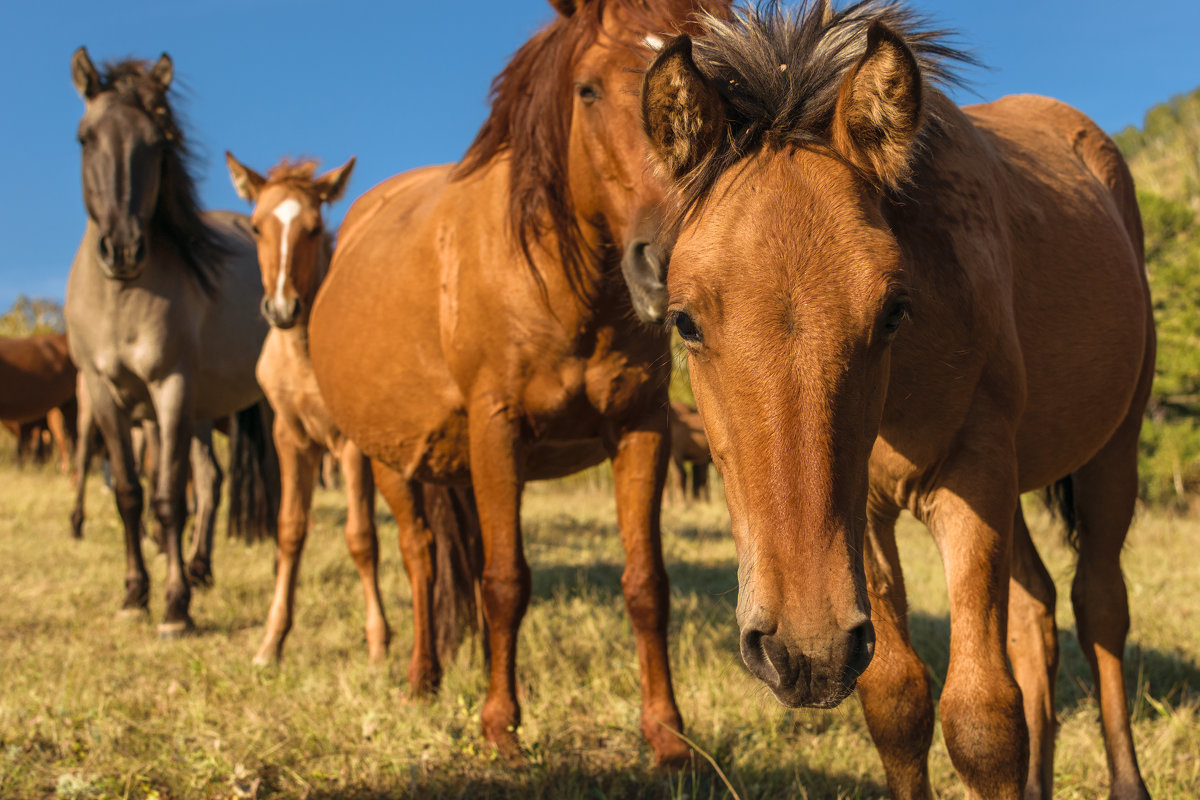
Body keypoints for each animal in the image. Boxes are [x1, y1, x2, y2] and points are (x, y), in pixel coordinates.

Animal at [66, 48, 276, 638]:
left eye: (157, 143)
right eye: (85, 138)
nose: (122, 249)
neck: (120, 299)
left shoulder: (171, 388)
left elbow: (167, 499)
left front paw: (176, 607)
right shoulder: (105, 394)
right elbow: (131, 495)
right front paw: (135, 593)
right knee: (210, 480)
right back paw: (202, 567)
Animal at [225, 151, 482, 671]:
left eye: (311, 228)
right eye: (257, 227)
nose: (282, 308)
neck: (304, 360)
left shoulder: (351, 449)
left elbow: (361, 538)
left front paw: (379, 642)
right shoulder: (291, 439)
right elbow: (289, 532)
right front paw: (271, 642)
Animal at [307, 0, 729, 767]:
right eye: (587, 89)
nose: (670, 261)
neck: (561, 285)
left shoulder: (641, 428)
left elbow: (646, 585)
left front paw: (667, 735)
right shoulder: (497, 430)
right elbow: (505, 582)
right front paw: (501, 727)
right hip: (390, 463)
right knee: (420, 560)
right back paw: (423, 679)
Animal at [638, 3, 1152, 796]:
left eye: (892, 310)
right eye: (684, 321)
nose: (803, 651)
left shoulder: (974, 478)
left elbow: (982, 717)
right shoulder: (869, 513)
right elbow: (896, 701)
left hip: (1111, 456)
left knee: (1098, 609)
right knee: (1036, 613)